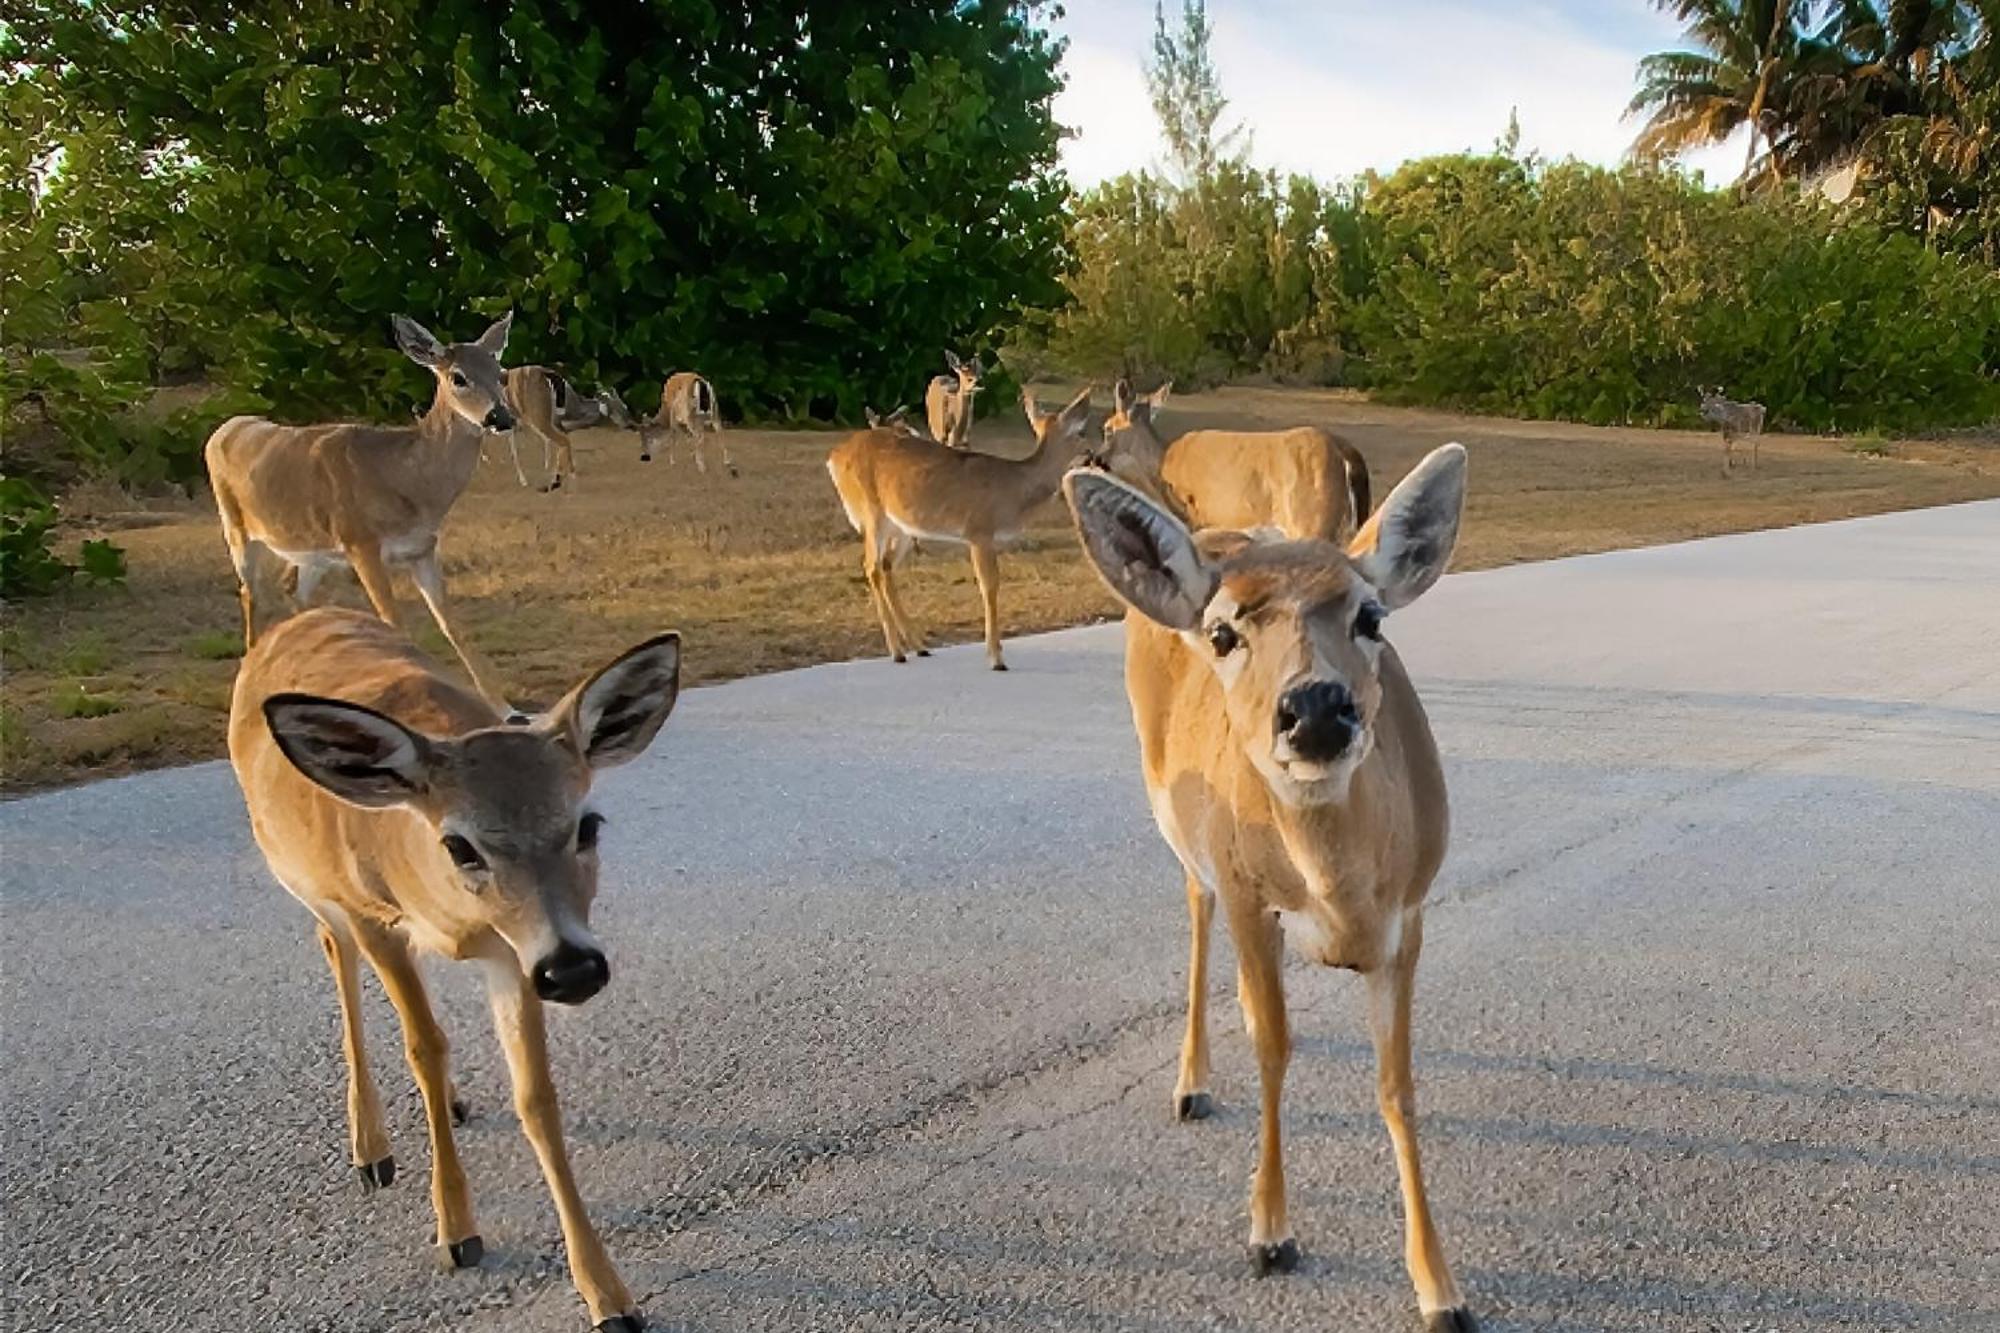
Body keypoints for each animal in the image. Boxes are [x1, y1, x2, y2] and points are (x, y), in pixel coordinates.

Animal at [201, 312, 516, 704]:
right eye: (458, 377)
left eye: (501, 373)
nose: (501, 418)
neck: (406, 480)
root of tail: (224, 428)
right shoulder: (360, 542)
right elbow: (396, 624)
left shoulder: (422, 548)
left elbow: (452, 625)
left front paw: (503, 705)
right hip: (236, 527)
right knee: (251, 593)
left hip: (312, 550)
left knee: (293, 591)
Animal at [504, 366, 644, 490]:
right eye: (620, 410)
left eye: (625, 406)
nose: (633, 425)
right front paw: (561, 478)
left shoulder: (558, 428)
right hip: (535, 419)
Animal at [828, 384, 1096, 676]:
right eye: (1081, 432)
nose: (1094, 454)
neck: (1013, 491)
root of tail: (833, 458)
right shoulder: (979, 531)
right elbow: (989, 586)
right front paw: (996, 659)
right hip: (871, 512)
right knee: (872, 566)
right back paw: (897, 652)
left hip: (903, 527)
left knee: (886, 566)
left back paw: (919, 646)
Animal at [1064, 438, 1488, 1328]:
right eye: (1224, 631)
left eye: (1371, 616)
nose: (1317, 708)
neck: (1341, 890)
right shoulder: (1249, 892)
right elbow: (1273, 1049)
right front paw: (1269, 1233)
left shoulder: (1411, 914)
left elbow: (1396, 1085)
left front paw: (1440, 1287)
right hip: (1177, 810)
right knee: (1195, 903)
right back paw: (1191, 1083)